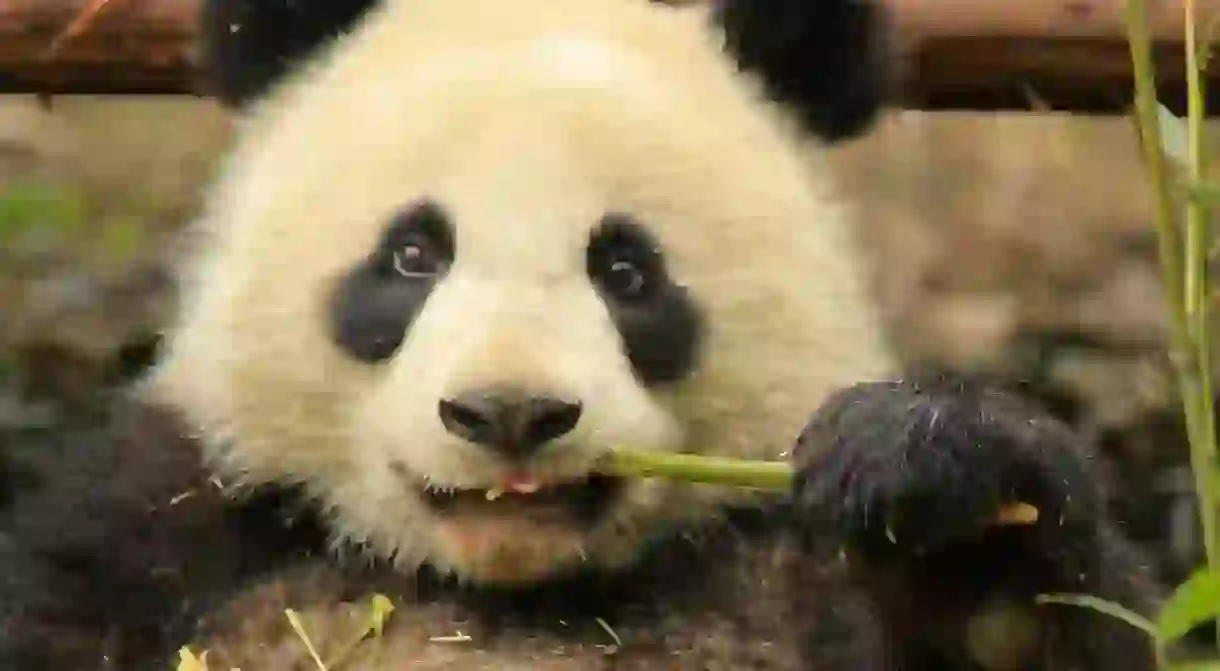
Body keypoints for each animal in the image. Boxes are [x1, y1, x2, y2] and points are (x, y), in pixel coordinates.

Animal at [0, 0, 1161, 668]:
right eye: (412, 255)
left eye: (626, 270)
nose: (508, 412)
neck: (506, 587)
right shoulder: (156, 540)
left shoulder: (780, 565)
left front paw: (925, 460)